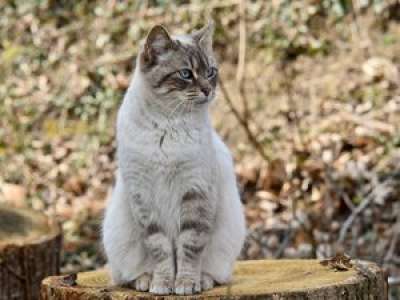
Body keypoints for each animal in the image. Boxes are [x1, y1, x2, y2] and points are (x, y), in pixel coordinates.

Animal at [102, 21, 247, 296]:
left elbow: (189, 248)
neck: (168, 124)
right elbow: (160, 250)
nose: (208, 90)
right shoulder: (144, 197)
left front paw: (186, 284)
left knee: (216, 273)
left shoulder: (195, 190)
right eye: (186, 74)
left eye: (210, 72)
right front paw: (162, 284)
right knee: (125, 276)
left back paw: (203, 281)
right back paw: (145, 281)